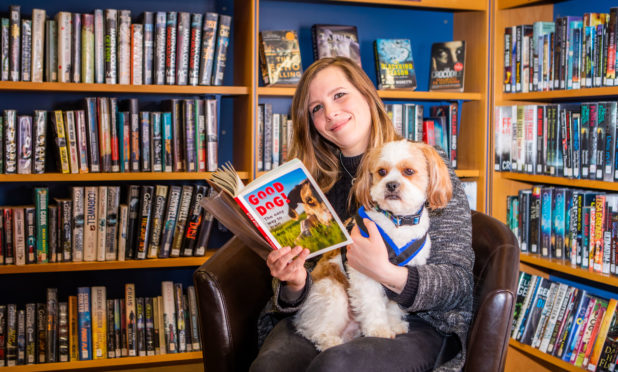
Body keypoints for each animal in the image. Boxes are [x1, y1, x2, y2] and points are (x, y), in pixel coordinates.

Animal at [292, 140, 450, 352]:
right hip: (333, 293)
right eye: (382, 172)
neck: (397, 221)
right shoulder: (364, 274)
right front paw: (379, 330)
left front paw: (394, 324)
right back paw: (330, 341)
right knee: (316, 331)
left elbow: (394, 304)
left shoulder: (400, 274)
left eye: (408, 171)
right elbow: (373, 304)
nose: (391, 184)